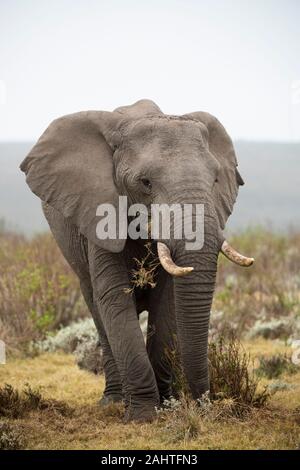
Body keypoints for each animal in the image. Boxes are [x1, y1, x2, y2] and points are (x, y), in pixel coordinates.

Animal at [19, 98, 253, 422]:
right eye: (145, 182)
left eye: (216, 179)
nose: (205, 404)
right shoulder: (98, 210)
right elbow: (114, 298)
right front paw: (143, 416)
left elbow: (167, 304)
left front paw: (167, 405)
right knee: (99, 313)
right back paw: (115, 402)